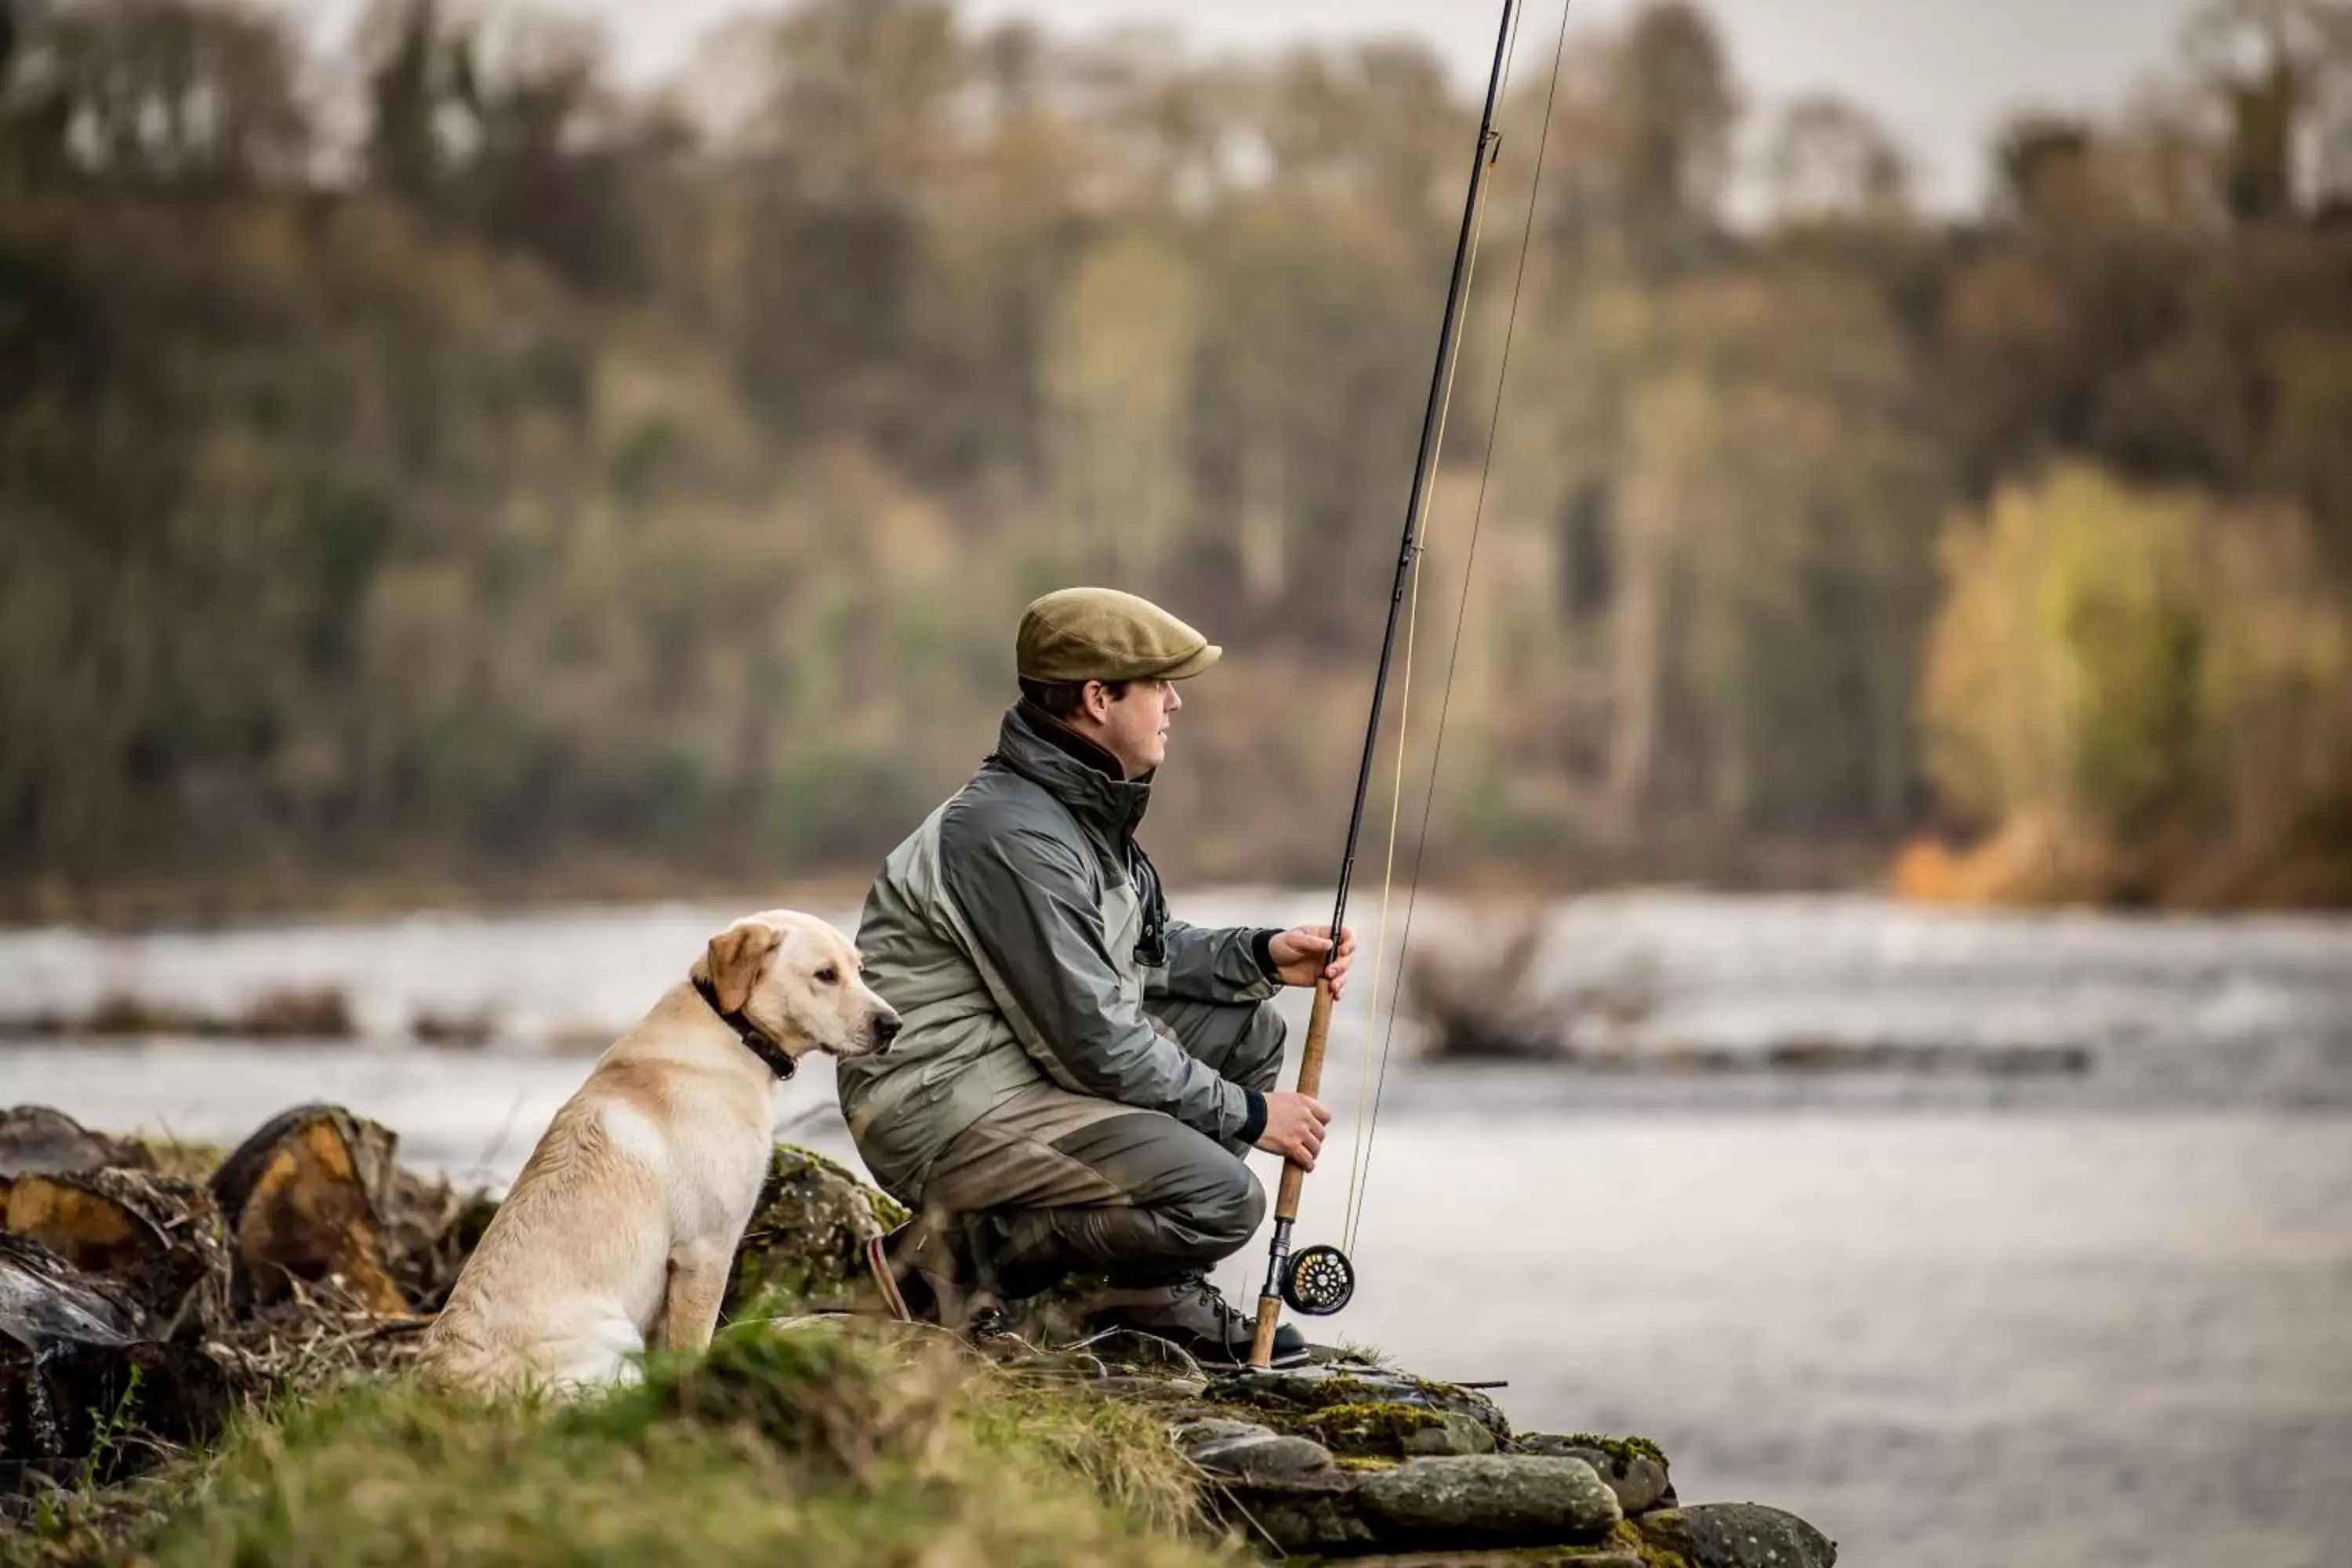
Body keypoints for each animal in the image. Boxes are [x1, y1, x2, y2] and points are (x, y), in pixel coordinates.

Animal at [423, 907, 898, 1401]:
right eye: (825, 975)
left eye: (859, 970)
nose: (893, 1025)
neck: (733, 1030)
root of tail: (442, 1389)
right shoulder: (705, 1250)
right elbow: (691, 1344)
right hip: (615, 1336)